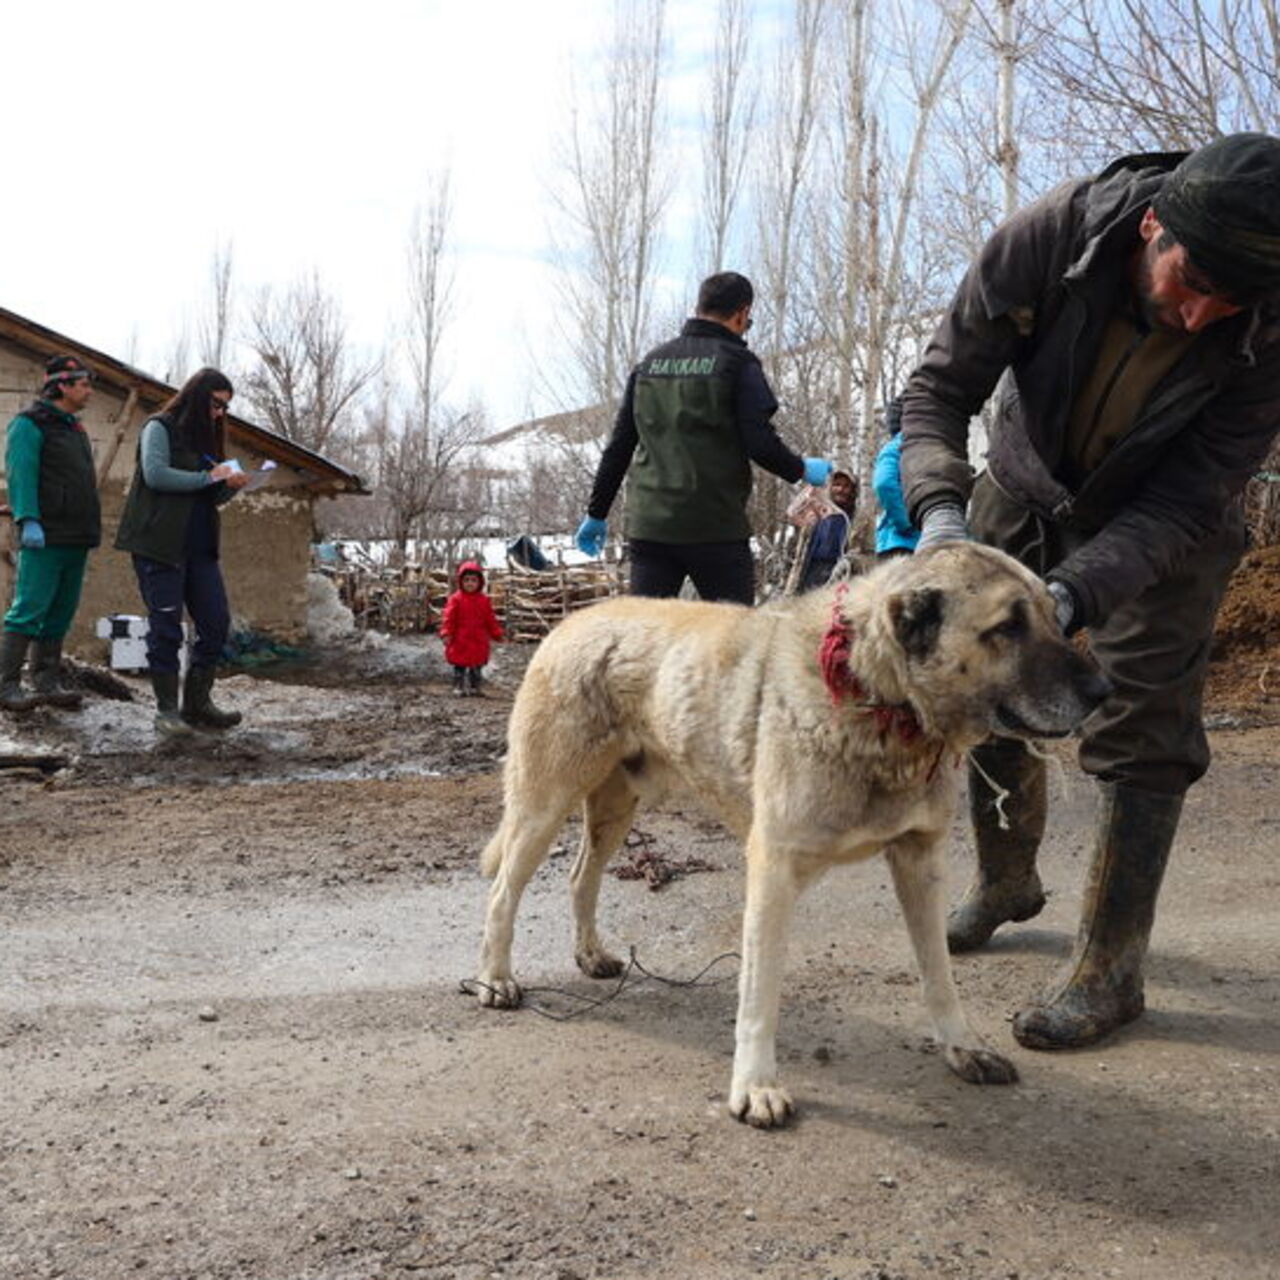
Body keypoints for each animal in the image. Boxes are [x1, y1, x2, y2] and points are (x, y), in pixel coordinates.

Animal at [473, 545, 1111, 1126]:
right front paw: (756, 1086)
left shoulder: (920, 862)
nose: (1103, 691)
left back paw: (589, 954)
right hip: (544, 804)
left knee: (582, 875)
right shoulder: (773, 871)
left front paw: (963, 1046)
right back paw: (496, 979)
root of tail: (572, 620)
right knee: (503, 892)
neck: (875, 697)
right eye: (1007, 627)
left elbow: (939, 975)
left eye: (1053, 614)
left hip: (615, 808)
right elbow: (760, 995)